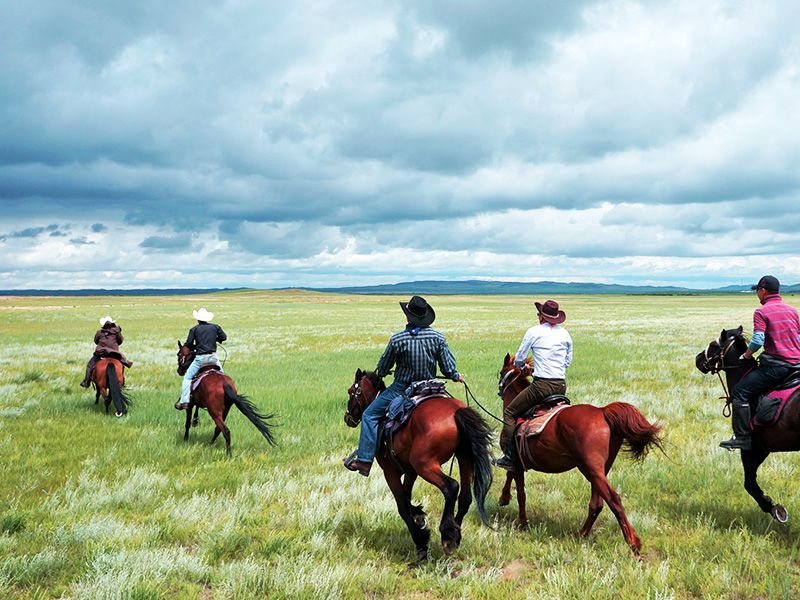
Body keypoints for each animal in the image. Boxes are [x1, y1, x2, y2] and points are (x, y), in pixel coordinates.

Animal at [344, 370, 494, 564]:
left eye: (351, 391)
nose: (347, 417)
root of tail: (457, 412)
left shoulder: (390, 471)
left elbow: (402, 505)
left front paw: (421, 542)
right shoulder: (410, 471)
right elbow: (407, 496)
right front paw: (418, 515)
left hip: (425, 465)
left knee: (451, 486)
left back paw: (447, 535)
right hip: (463, 458)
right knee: (465, 497)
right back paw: (455, 536)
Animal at [500, 354, 664, 556]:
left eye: (501, 372)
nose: (499, 389)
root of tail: (603, 412)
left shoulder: (516, 461)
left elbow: (519, 490)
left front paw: (519, 517)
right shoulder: (518, 463)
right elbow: (512, 478)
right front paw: (505, 499)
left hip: (590, 469)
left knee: (614, 500)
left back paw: (633, 544)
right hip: (600, 470)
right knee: (597, 504)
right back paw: (582, 534)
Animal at [692, 326, 800, 524]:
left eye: (713, 345)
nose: (698, 359)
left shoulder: (750, 448)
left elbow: (749, 483)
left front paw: (773, 507)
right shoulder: (763, 448)